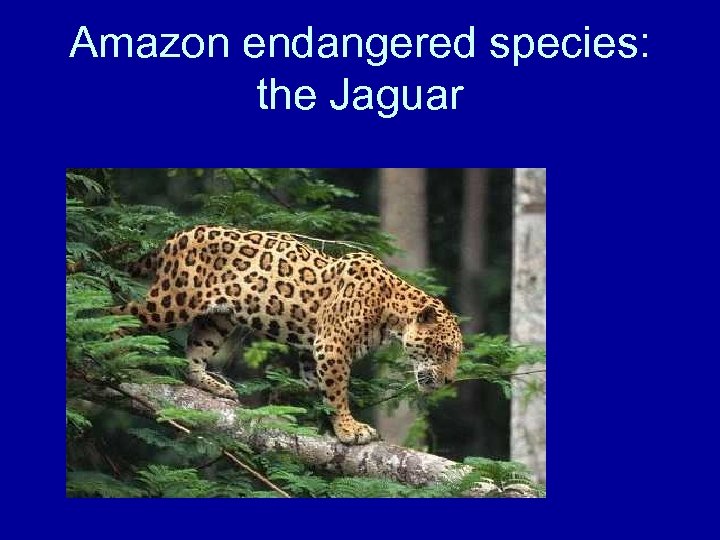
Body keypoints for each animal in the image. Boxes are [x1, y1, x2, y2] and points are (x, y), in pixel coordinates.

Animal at [110, 225, 463, 445]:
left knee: (194, 356)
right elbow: (338, 392)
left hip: (218, 320)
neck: (391, 309)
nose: (448, 381)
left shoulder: (313, 350)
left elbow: (317, 386)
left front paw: (320, 419)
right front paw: (349, 429)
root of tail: (175, 237)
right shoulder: (332, 346)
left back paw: (213, 385)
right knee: (117, 313)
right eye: (445, 351)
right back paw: (112, 348)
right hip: (172, 302)